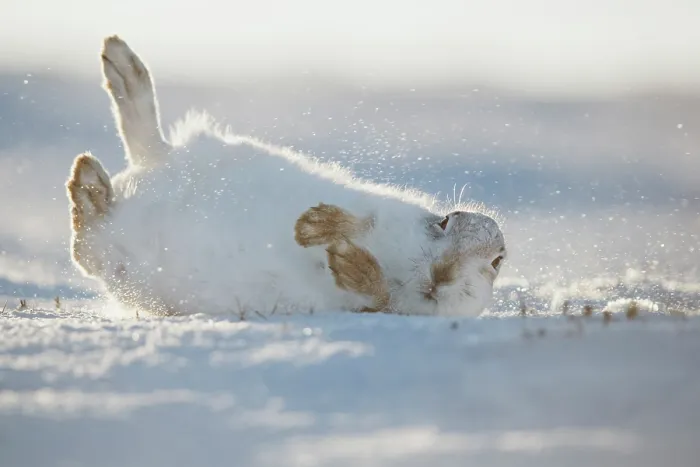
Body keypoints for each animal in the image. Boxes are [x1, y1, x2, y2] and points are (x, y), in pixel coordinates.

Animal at [66, 35, 507, 317]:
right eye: (443, 221)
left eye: (496, 264)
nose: (499, 237)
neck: (420, 266)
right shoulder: (377, 210)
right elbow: (357, 221)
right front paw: (315, 226)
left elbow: (376, 296)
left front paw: (348, 262)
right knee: (144, 140)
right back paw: (121, 67)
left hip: (117, 258)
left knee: (85, 245)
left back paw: (88, 183)